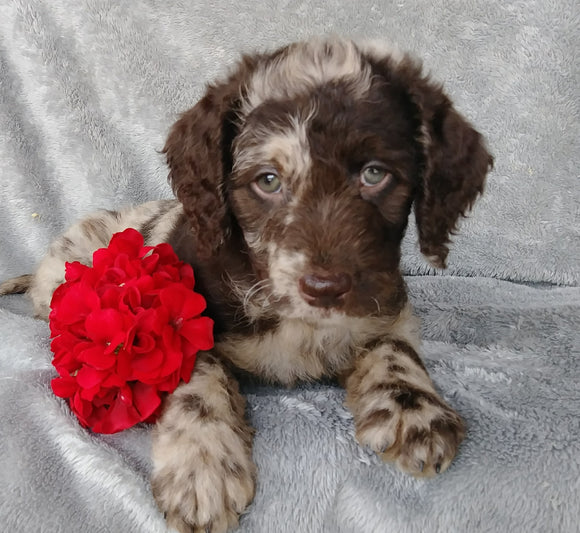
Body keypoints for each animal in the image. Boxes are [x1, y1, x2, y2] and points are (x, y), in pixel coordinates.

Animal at [2, 37, 494, 532]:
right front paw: (201, 466)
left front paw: (414, 411)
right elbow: (197, 374)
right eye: (268, 181)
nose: (324, 287)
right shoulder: (179, 311)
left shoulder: (385, 297)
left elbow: (394, 345)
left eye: (374, 174)